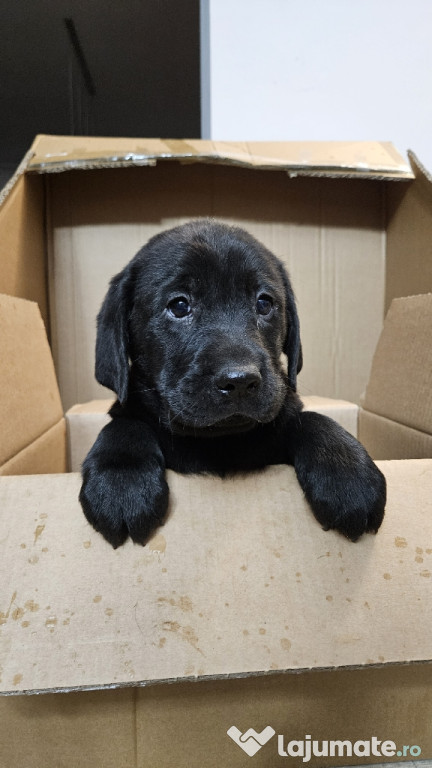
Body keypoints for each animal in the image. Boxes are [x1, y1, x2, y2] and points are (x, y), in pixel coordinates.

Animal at [79, 219, 386, 548]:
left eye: (264, 303)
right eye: (179, 306)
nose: (240, 381)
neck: (218, 442)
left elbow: (313, 418)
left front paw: (349, 475)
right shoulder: (129, 410)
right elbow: (124, 424)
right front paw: (121, 483)